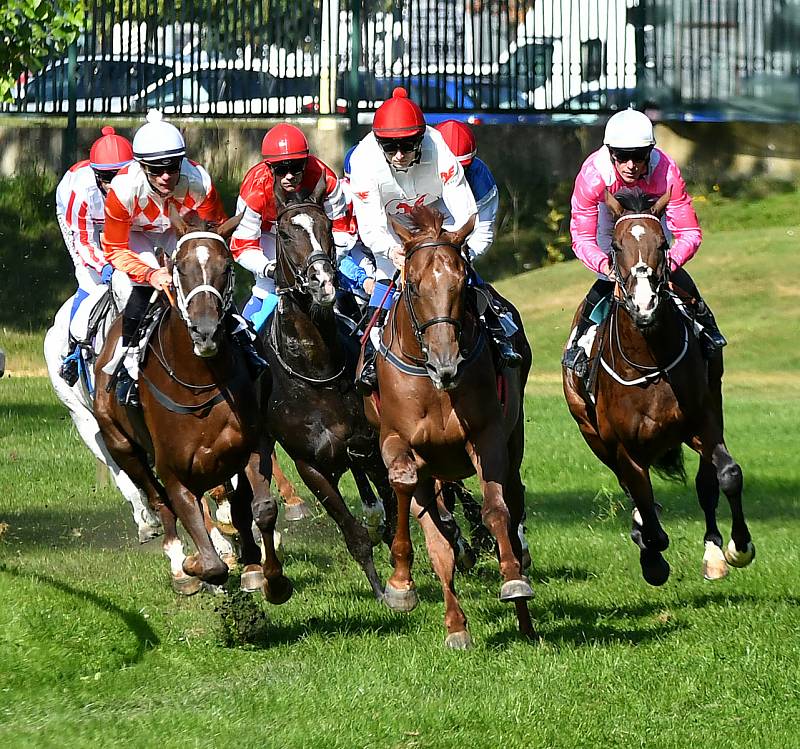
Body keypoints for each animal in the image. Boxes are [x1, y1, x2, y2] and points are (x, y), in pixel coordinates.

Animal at [94, 216, 290, 600]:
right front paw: (193, 564)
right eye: (179, 268)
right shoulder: (174, 473)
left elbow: (261, 508)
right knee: (159, 502)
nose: (206, 331)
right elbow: (210, 562)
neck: (199, 382)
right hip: (122, 447)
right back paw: (180, 566)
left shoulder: (251, 445)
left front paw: (270, 578)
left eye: (226, 266)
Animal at [262, 175, 396, 600]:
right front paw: (383, 591)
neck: (316, 371)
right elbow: (355, 535)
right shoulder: (311, 467)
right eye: (285, 234)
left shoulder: (370, 445)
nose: (323, 282)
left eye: (326, 228)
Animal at [368, 205, 536, 648]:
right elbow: (406, 484)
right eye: (412, 284)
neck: (435, 385)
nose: (447, 364)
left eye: (461, 281)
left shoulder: (487, 436)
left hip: (513, 441)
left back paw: (525, 617)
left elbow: (496, 509)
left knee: (512, 500)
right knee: (437, 538)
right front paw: (400, 584)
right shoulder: (394, 439)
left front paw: (513, 582)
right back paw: (456, 625)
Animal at [564, 187, 756, 584]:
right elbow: (645, 507)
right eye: (616, 246)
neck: (650, 362)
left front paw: (738, 548)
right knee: (633, 491)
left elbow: (727, 475)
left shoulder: (702, 422)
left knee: (705, 484)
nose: (645, 305)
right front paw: (651, 556)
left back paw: (714, 553)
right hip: (591, 433)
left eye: (663, 243)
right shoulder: (624, 448)